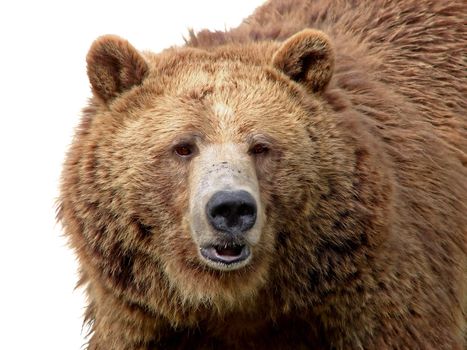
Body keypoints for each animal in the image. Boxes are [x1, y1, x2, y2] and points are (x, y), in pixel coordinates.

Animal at [58, 0, 467, 348]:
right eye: (183, 146)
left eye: (261, 146)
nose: (231, 208)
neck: (236, 299)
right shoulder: (145, 322)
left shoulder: (374, 300)